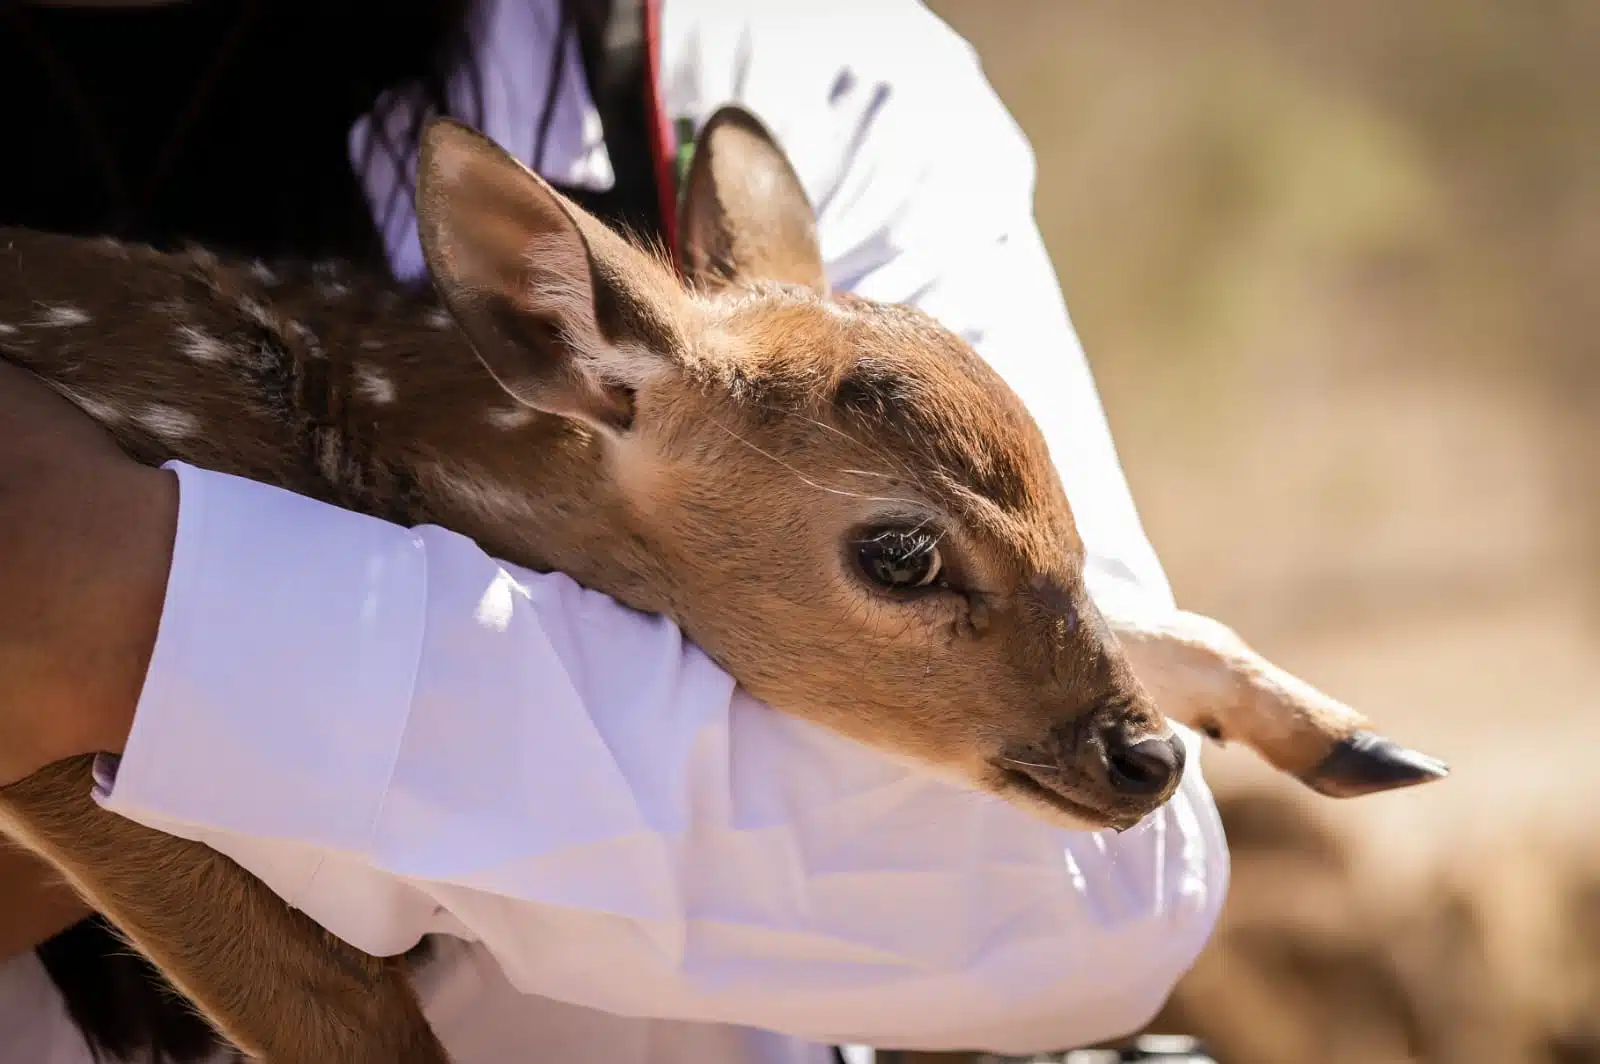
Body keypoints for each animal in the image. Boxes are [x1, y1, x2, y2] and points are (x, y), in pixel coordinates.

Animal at [0, 109, 1452, 1062]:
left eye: (1069, 507)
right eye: (900, 550)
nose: (1142, 759)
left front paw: (1347, 735)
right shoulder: (67, 760)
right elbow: (354, 1018)